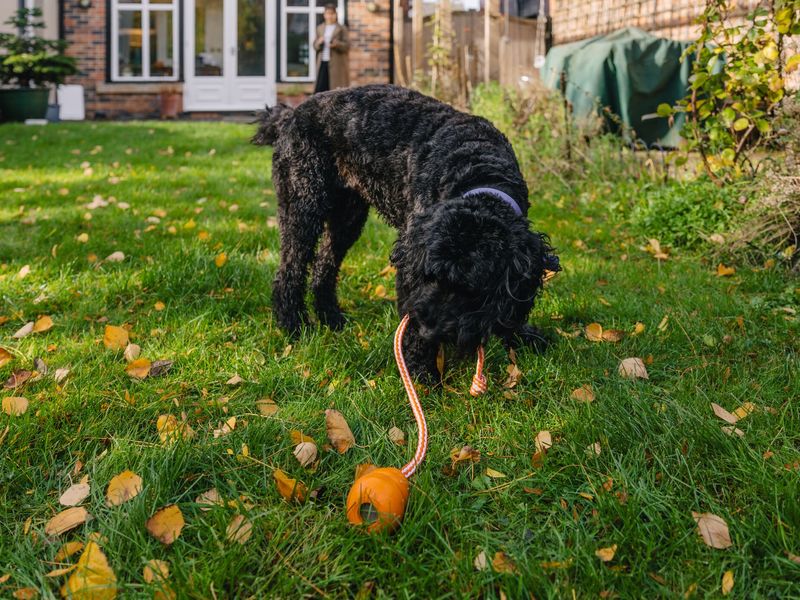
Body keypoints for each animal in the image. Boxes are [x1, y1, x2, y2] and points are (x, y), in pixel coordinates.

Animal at [253, 84, 560, 380]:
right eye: (429, 276)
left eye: (471, 288)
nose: (431, 331)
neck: (479, 171)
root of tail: (289, 116)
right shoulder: (411, 261)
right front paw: (421, 371)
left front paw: (523, 335)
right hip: (303, 206)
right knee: (289, 270)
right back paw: (294, 325)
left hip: (347, 218)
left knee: (324, 266)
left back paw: (332, 318)